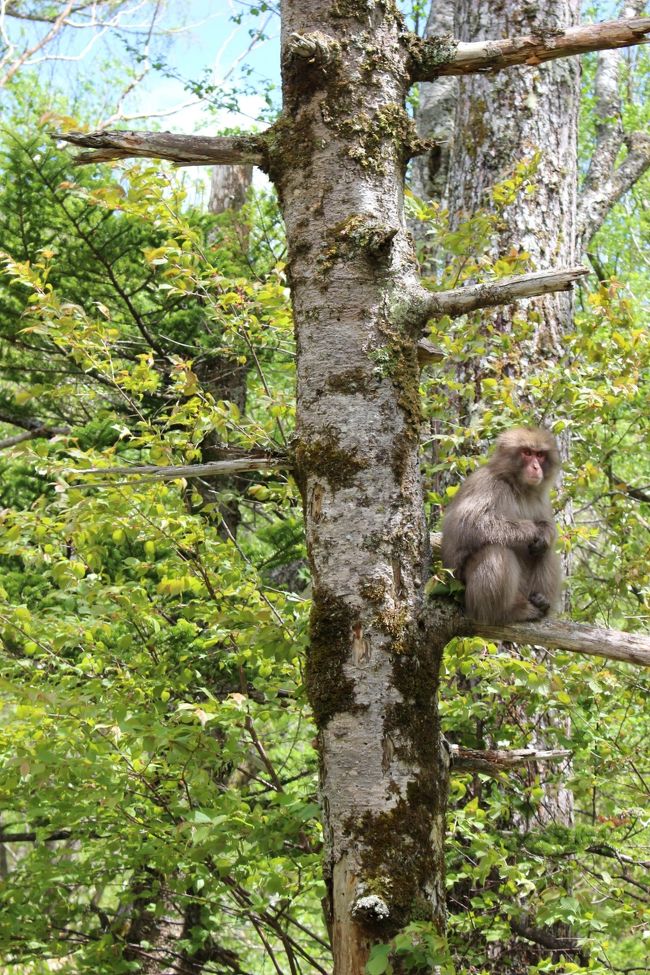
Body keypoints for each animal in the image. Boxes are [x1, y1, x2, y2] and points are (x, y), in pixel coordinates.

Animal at [440, 428, 560, 624]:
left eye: (540, 455)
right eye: (527, 453)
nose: (536, 467)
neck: (518, 486)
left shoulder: (540, 499)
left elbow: (546, 525)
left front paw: (545, 532)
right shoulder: (490, 485)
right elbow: (468, 524)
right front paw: (532, 529)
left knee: (545, 551)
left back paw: (541, 602)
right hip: (466, 591)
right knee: (495, 548)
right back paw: (506, 612)